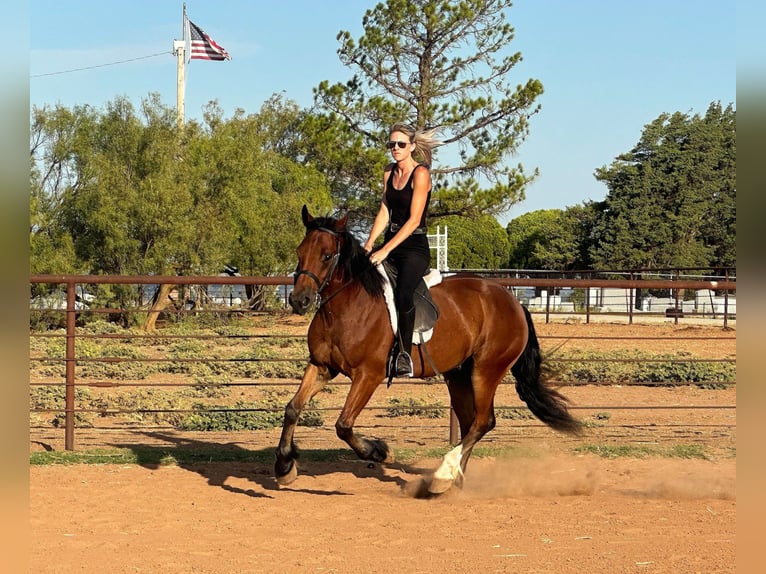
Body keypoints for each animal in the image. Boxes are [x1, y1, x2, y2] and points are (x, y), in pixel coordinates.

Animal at [276, 207, 584, 496]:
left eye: (327, 256)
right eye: (300, 252)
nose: (299, 300)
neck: (346, 307)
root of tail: (513, 302)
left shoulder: (368, 375)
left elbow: (343, 424)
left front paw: (379, 451)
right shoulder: (321, 366)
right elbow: (293, 408)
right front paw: (285, 466)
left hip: (486, 370)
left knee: (483, 422)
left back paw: (443, 476)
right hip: (458, 375)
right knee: (469, 422)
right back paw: (453, 480)